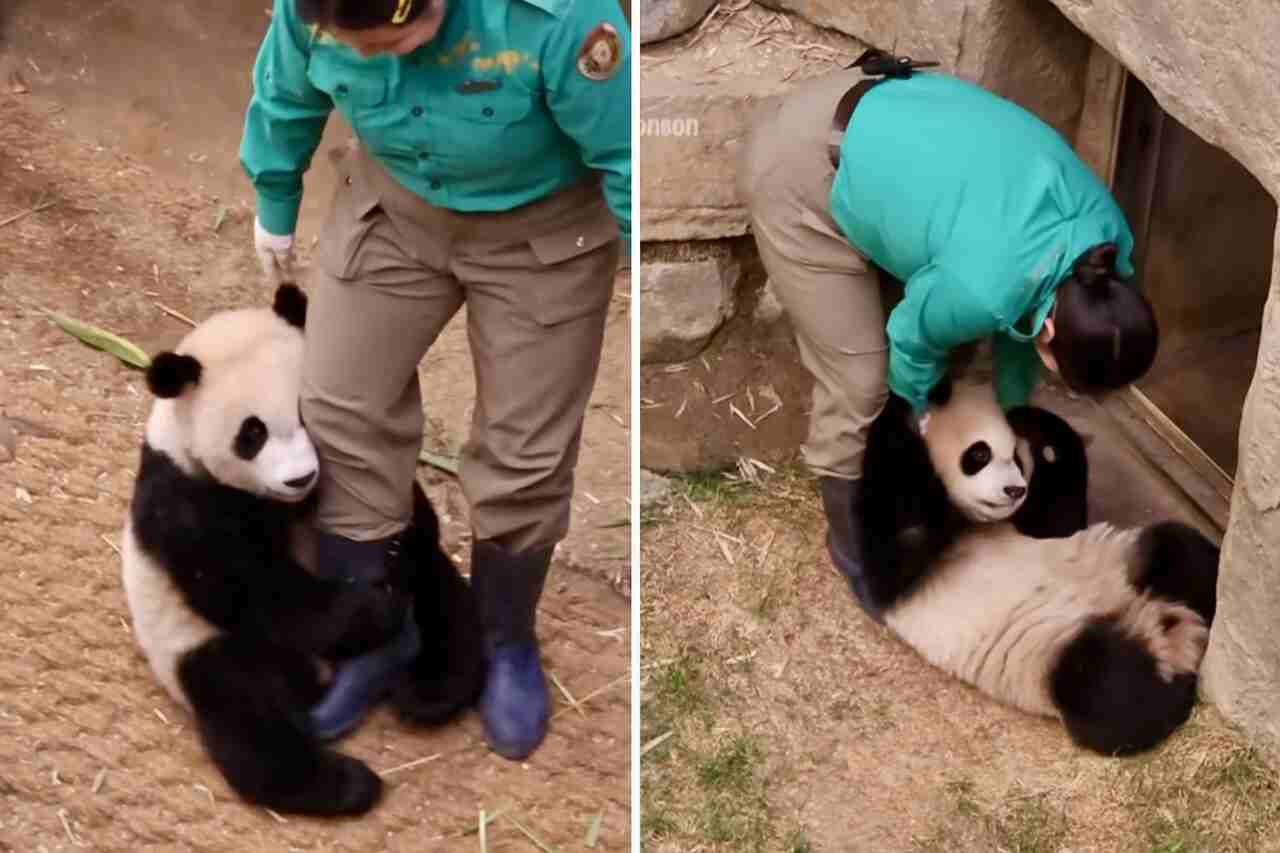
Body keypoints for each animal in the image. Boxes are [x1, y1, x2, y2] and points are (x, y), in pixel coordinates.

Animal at [120, 281, 483, 814]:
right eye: (251, 434)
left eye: (308, 414)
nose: (300, 478)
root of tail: (319, 679)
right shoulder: (181, 497)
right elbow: (252, 589)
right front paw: (372, 608)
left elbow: (400, 508)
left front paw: (398, 553)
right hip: (199, 645)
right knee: (247, 715)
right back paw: (346, 783)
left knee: (446, 603)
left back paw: (431, 689)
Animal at [855, 376, 1213, 753]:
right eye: (979, 454)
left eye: (1015, 456)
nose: (1015, 489)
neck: (971, 520)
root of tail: (1166, 630)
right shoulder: (903, 557)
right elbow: (897, 524)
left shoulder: (1033, 522)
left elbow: (1059, 520)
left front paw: (1045, 428)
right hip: (1055, 654)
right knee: (1108, 689)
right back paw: (1177, 694)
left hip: (1127, 559)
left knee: (1179, 551)